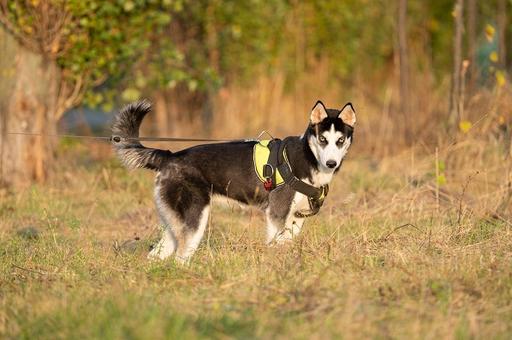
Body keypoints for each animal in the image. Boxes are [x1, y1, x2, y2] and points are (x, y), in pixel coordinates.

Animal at [111, 99, 354, 262]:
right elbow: (275, 241)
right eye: (322, 139)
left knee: (158, 254)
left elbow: (285, 241)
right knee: (181, 257)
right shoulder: (276, 214)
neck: (307, 157)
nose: (331, 163)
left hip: (173, 223)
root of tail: (169, 156)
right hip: (195, 220)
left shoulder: (297, 218)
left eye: (340, 140)